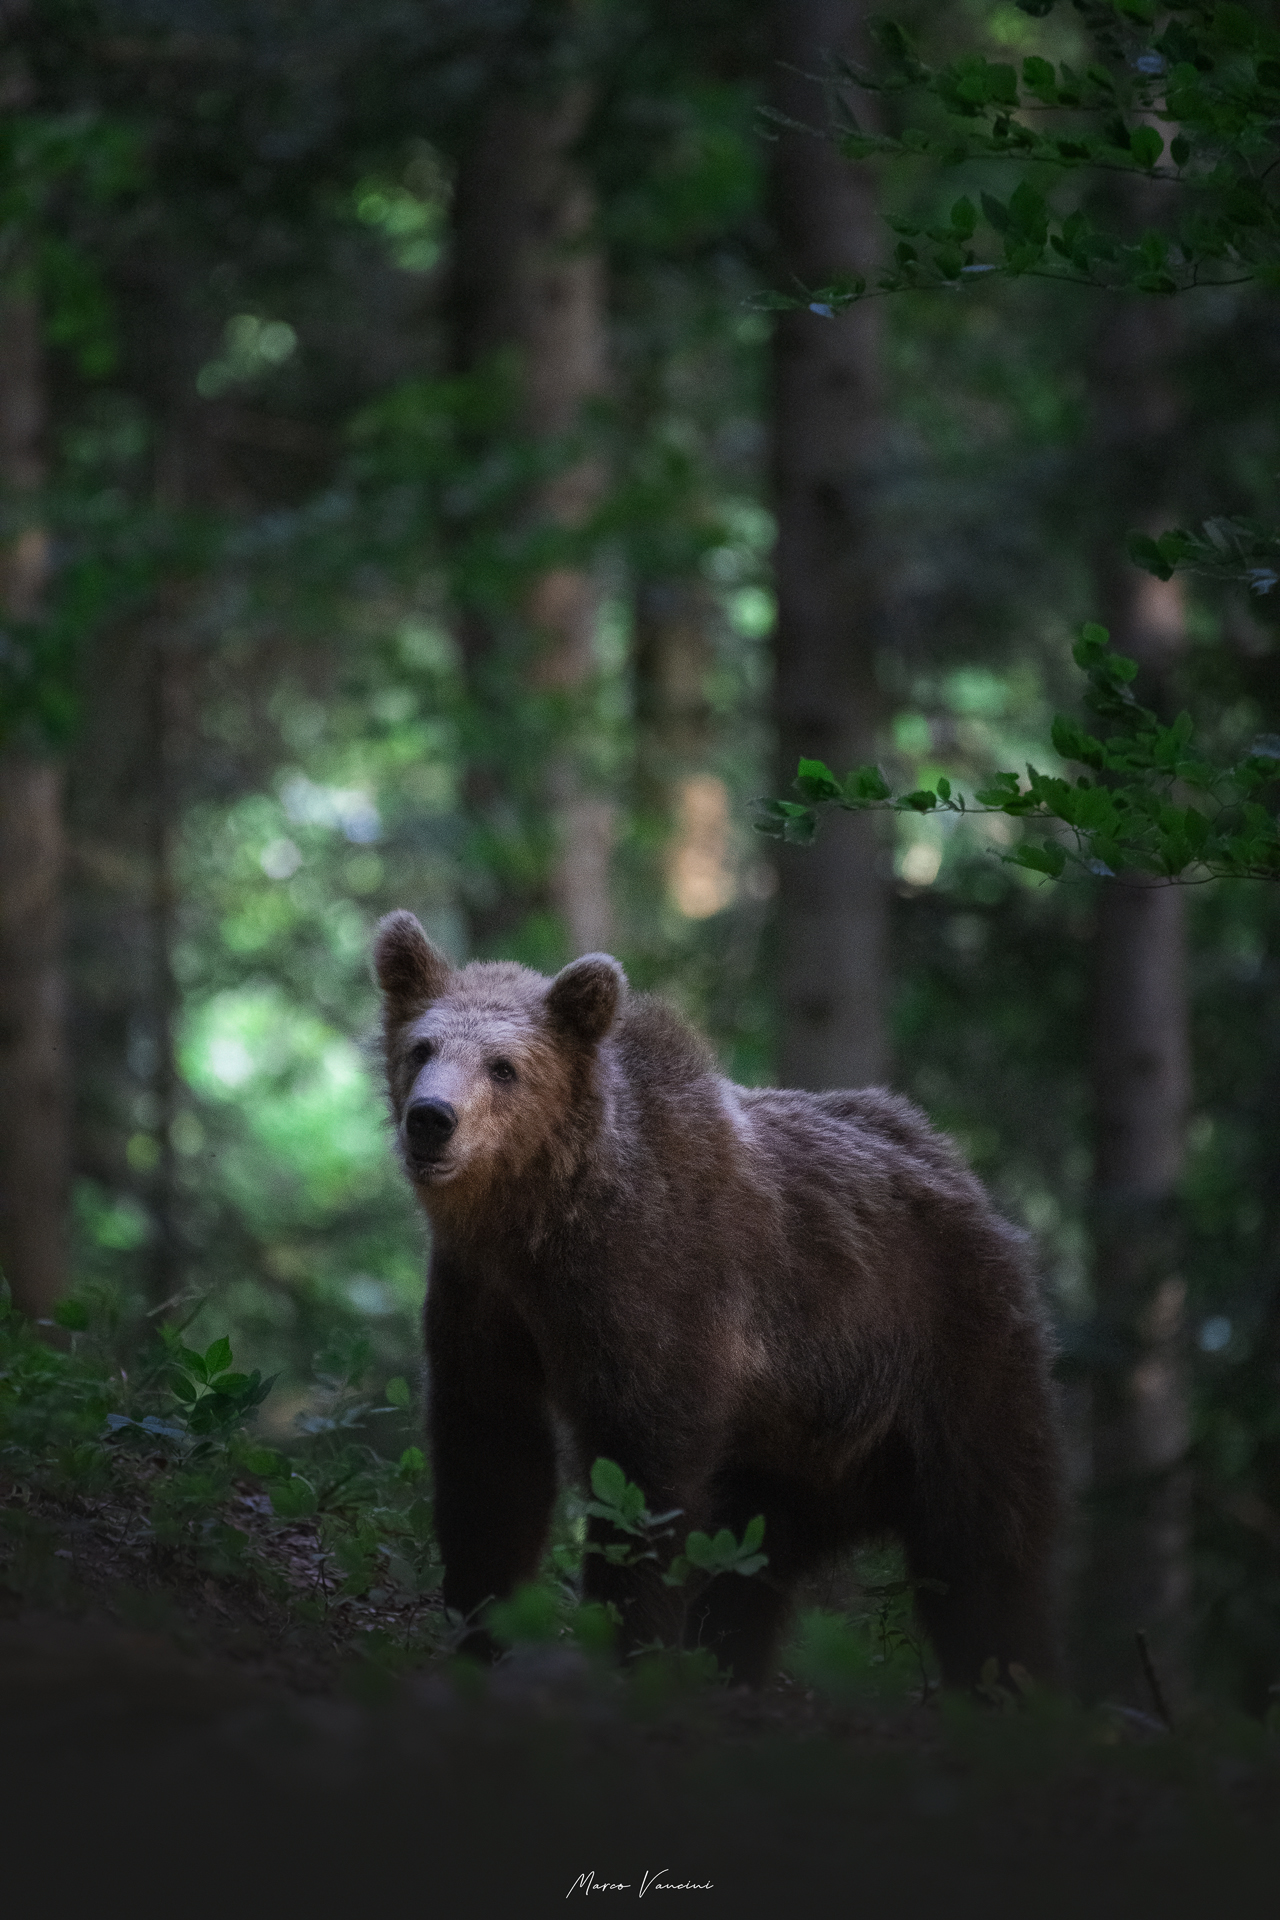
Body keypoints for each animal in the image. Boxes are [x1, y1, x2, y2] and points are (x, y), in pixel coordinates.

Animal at [373, 909, 1064, 1688]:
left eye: (503, 1066)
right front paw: (478, 1632)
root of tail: (980, 1196)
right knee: (751, 1572)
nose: (433, 1118)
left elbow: (644, 1484)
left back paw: (1013, 1681)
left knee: (983, 1550)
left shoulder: (660, 1299)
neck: (538, 1227)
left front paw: (628, 1645)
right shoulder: (482, 1302)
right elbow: (491, 1466)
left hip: (946, 1364)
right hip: (792, 1458)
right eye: (421, 1047)